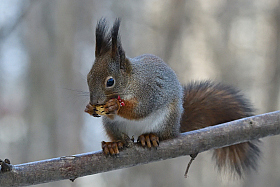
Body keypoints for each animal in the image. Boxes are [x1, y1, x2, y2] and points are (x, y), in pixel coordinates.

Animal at [84, 18, 260, 178]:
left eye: (110, 82)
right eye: (88, 77)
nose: (95, 101)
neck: (131, 82)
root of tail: (177, 126)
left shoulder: (150, 92)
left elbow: (140, 110)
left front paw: (115, 106)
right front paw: (90, 108)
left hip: (167, 119)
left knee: (164, 135)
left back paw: (149, 137)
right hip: (112, 126)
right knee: (120, 136)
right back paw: (114, 144)